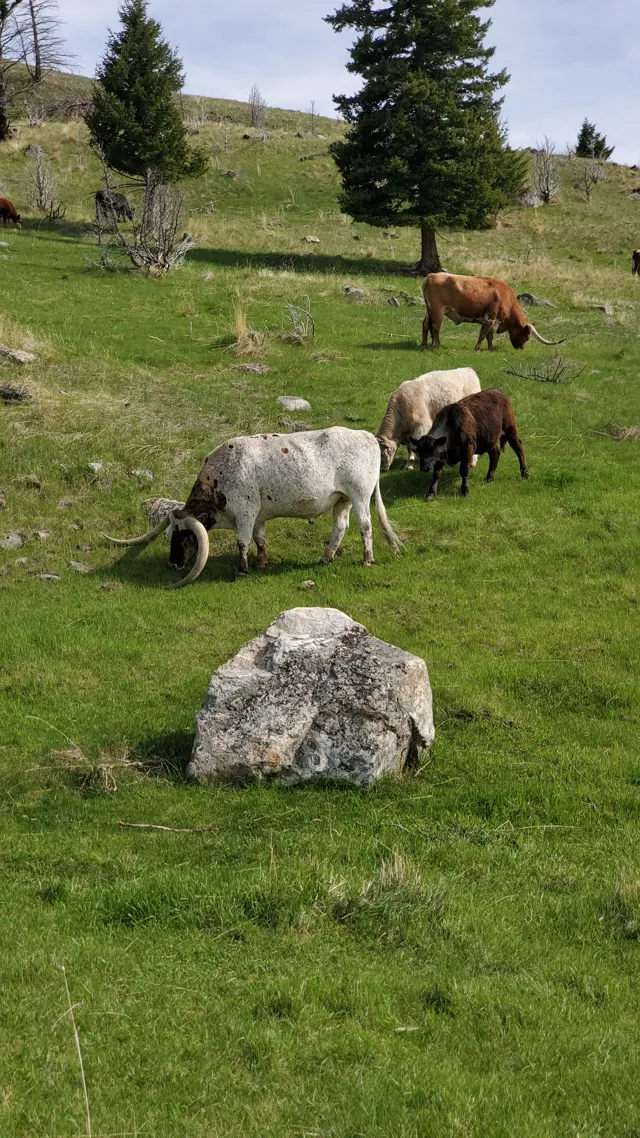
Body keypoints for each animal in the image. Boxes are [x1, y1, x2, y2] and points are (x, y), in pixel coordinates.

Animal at [104, 427, 402, 586]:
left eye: (186, 537)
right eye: (170, 535)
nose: (173, 564)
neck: (219, 476)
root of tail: (366, 435)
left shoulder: (245, 513)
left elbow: (243, 541)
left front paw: (242, 569)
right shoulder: (258, 515)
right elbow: (260, 539)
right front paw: (261, 562)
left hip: (359, 496)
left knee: (365, 526)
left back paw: (367, 559)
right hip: (341, 500)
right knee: (340, 526)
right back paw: (325, 557)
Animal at [422, 272, 563, 351]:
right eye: (526, 337)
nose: (521, 349)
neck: (505, 296)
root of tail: (432, 275)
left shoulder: (492, 320)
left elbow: (489, 336)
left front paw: (490, 349)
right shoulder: (490, 318)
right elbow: (483, 334)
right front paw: (477, 349)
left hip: (429, 310)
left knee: (425, 324)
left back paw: (424, 343)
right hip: (438, 311)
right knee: (435, 327)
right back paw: (437, 345)